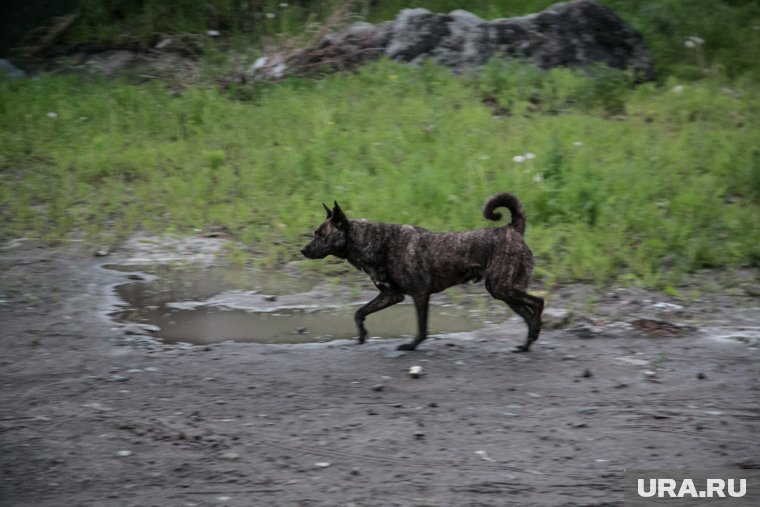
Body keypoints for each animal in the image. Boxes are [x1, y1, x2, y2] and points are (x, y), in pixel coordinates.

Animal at [300, 192, 544, 352]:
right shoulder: (390, 295)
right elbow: (359, 313)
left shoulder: (419, 294)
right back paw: (527, 342)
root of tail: (512, 229)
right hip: (504, 291)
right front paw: (361, 336)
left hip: (501, 287)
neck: (377, 241)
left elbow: (421, 329)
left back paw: (534, 333)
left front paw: (411, 345)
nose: (303, 250)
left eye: (321, 234)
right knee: (528, 313)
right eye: (315, 233)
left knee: (538, 303)